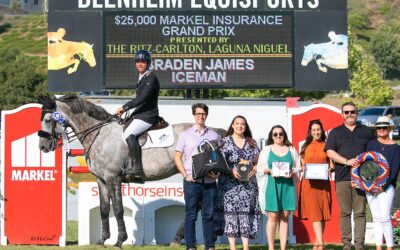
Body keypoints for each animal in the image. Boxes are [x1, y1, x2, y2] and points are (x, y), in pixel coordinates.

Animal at [39, 95, 227, 246]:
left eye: (47, 120)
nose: (43, 147)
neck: (99, 134)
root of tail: (215, 132)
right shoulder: (101, 179)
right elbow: (104, 208)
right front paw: (102, 240)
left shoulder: (113, 177)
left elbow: (118, 208)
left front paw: (119, 240)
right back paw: (180, 238)